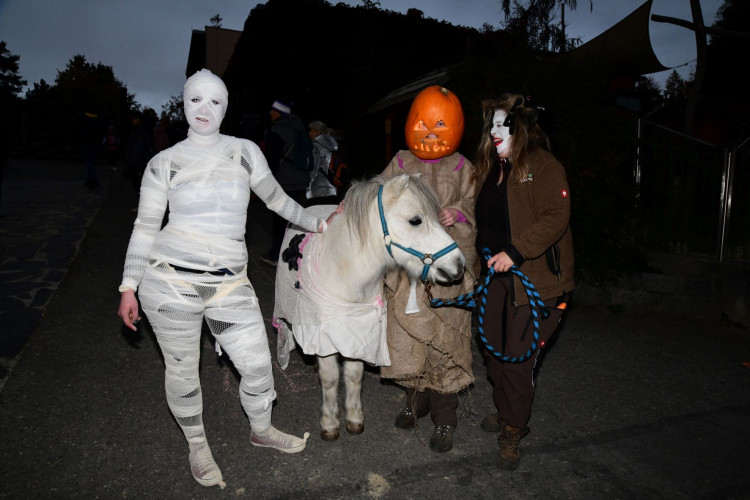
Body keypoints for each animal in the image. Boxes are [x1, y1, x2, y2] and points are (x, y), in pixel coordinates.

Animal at [274, 175, 468, 442]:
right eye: (415, 220)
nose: (458, 265)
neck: (343, 273)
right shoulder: (325, 338)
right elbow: (330, 379)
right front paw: (329, 423)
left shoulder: (360, 335)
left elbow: (354, 375)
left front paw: (354, 418)